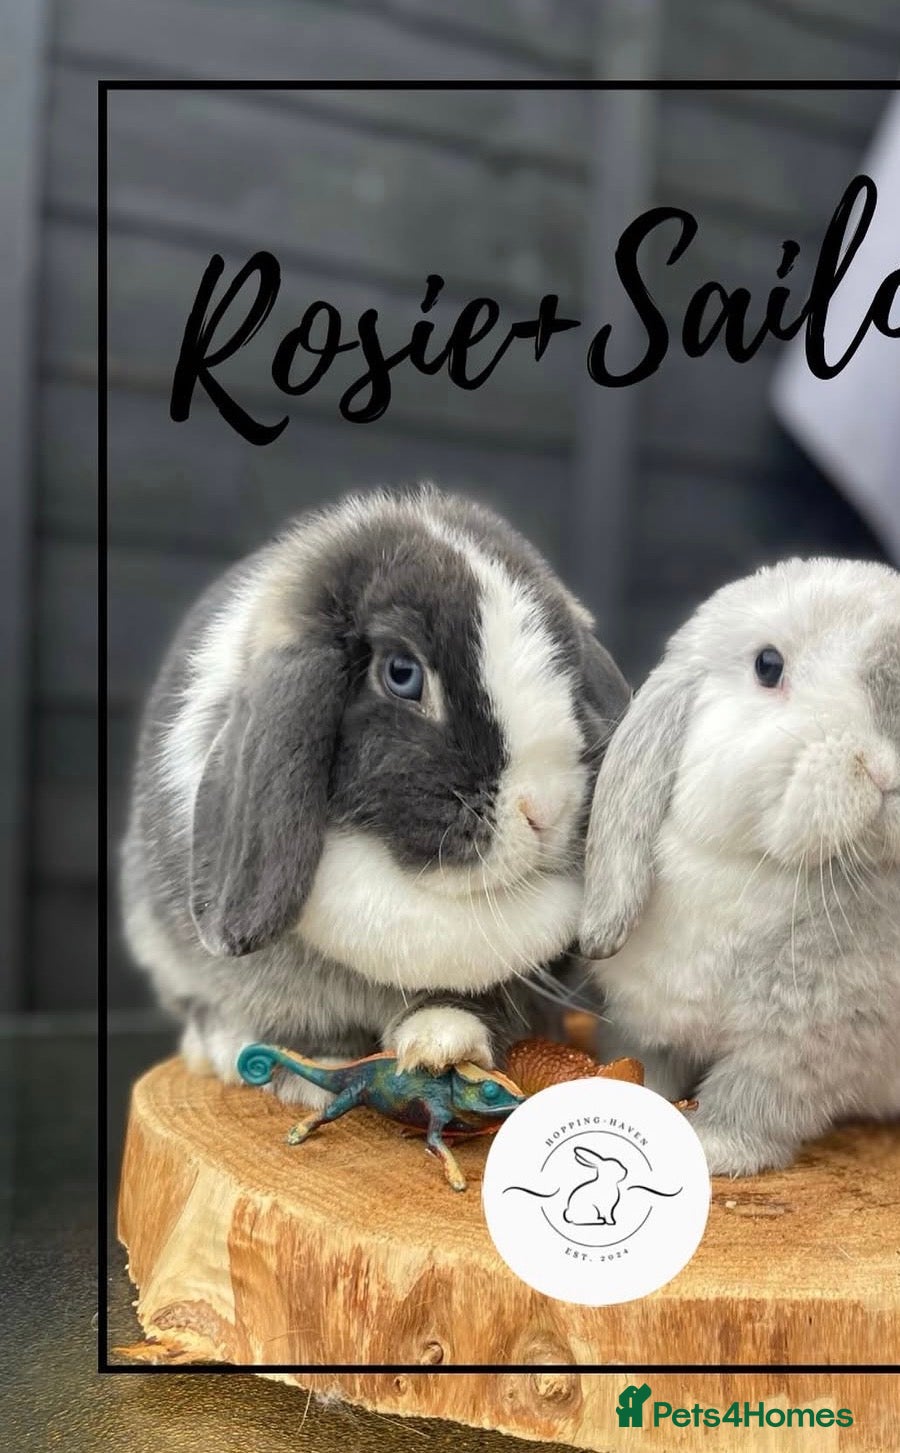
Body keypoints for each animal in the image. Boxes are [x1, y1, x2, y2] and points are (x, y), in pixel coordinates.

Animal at [580, 557, 900, 1176]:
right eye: (768, 665)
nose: (887, 770)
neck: (754, 866)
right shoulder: (645, 1016)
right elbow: (643, 1062)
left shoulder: (804, 1038)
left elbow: (754, 1094)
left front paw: (712, 1146)